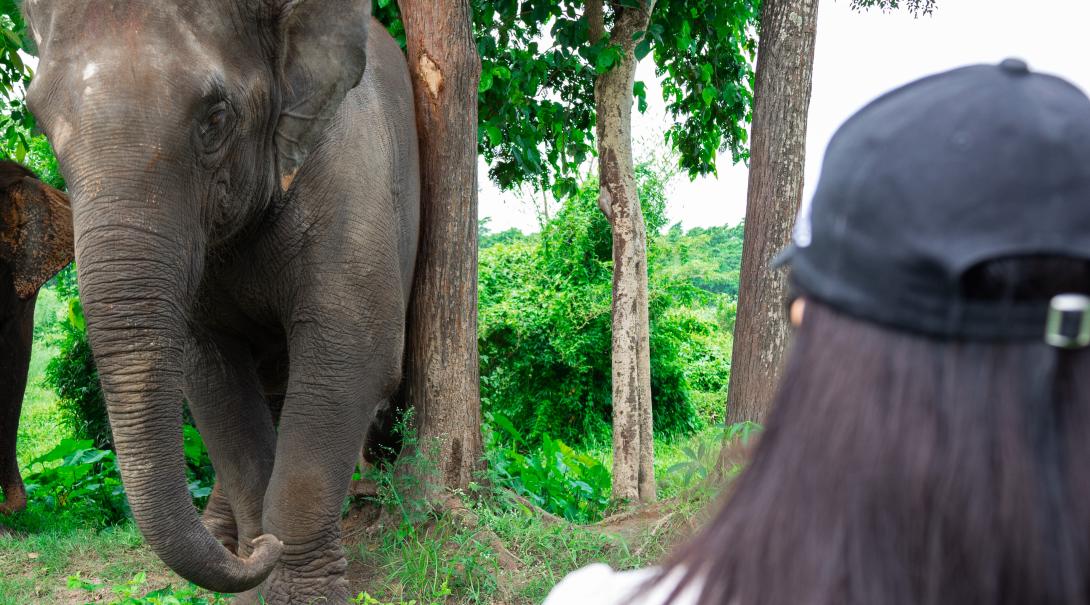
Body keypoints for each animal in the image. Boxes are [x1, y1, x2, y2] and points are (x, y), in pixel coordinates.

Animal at [24, 2, 420, 601]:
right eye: (42, 124)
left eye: (215, 118)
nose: (262, 548)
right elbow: (213, 380)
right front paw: (259, 564)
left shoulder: (353, 175)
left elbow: (354, 356)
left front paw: (295, 588)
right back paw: (222, 537)